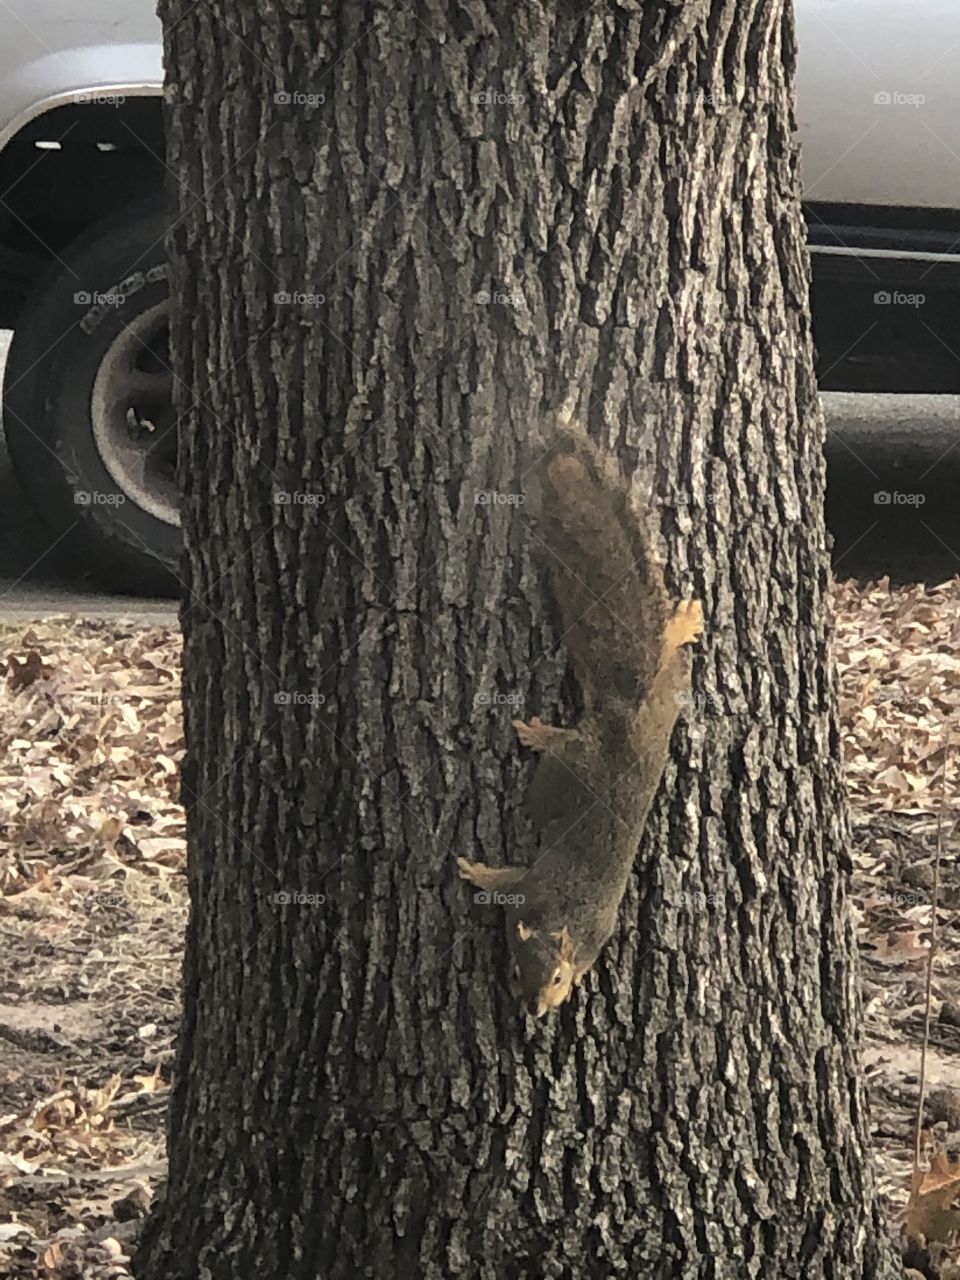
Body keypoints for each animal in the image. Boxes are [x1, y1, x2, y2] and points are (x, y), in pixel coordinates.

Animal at [458, 419, 706, 1018]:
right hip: (658, 707)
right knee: (665, 662)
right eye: (515, 971)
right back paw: (681, 626)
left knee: (565, 744)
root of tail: (624, 719)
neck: (558, 918)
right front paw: (476, 871)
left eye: (556, 978)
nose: (535, 1011)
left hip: (576, 762)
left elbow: (508, 878)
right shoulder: (529, 900)